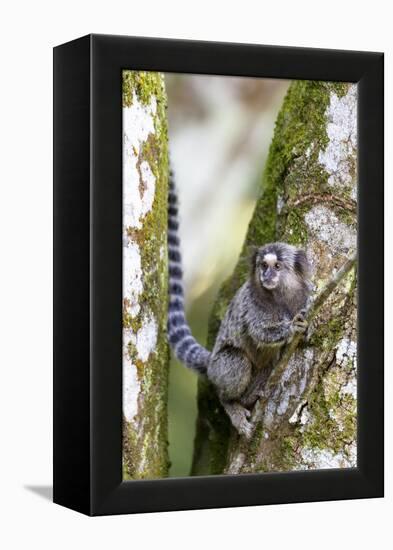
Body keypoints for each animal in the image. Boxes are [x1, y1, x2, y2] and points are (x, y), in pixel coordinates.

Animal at [167, 172, 310, 440]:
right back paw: (232, 403)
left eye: (277, 266)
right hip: (220, 368)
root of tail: (210, 362)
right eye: (263, 266)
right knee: (237, 362)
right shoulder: (255, 304)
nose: (266, 276)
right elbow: (259, 332)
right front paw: (291, 328)